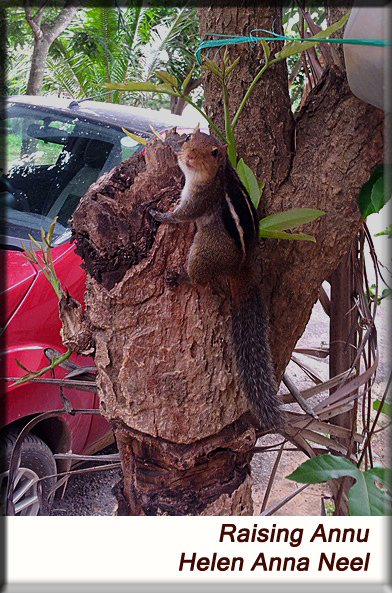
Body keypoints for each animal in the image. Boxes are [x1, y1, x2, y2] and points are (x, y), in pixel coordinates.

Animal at [150, 131, 284, 430]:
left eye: (214, 152)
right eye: (190, 137)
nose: (189, 157)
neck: (216, 174)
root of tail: (241, 266)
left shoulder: (200, 199)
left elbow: (182, 215)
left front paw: (159, 214)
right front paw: (172, 144)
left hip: (204, 249)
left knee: (200, 278)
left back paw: (182, 277)